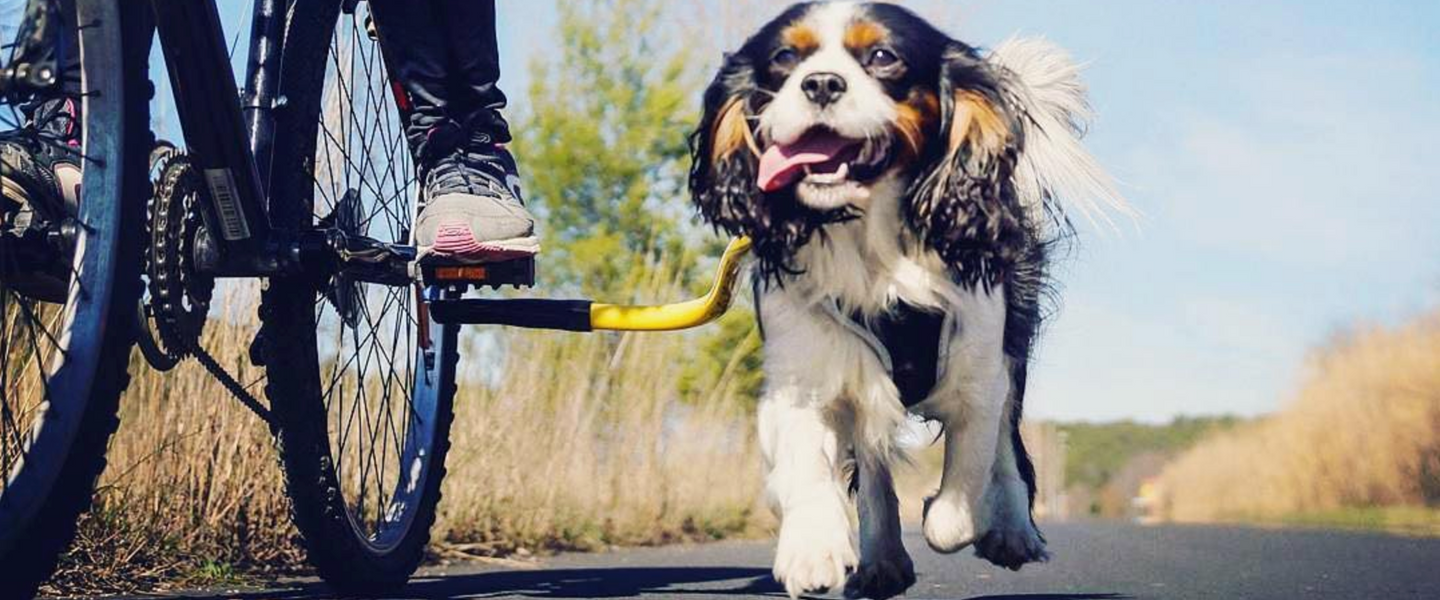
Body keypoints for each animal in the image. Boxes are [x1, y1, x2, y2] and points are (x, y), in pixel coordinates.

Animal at [685, 2, 1123, 595]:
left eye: (882, 56)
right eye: (784, 58)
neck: (871, 246)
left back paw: (1010, 531)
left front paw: (957, 516)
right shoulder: (804, 374)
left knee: (1005, 444)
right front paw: (812, 548)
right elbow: (808, 463)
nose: (821, 83)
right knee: (873, 465)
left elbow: (963, 491)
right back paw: (883, 556)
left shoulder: (980, 372)